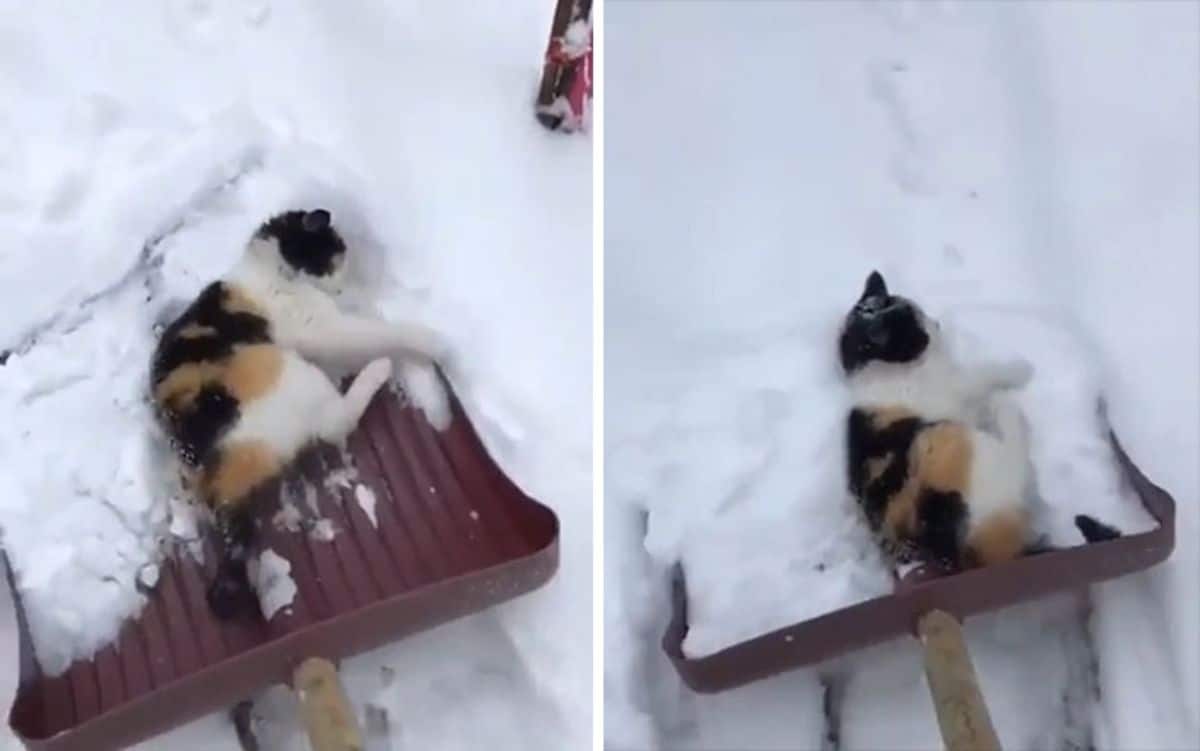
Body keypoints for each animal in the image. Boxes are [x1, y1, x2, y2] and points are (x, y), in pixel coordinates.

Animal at [149, 207, 448, 619]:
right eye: (337, 253)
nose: (342, 282)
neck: (273, 268)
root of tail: (219, 481)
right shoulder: (321, 328)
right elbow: (379, 331)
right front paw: (431, 340)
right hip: (289, 373)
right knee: (335, 423)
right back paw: (379, 369)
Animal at [840, 268, 1118, 566]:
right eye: (917, 330)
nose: (936, 325)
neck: (875, 373)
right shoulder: (955, 387)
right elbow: (982, 373)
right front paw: (1020, 368)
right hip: (951, 441)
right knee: (1016, 460)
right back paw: (1006, 410)